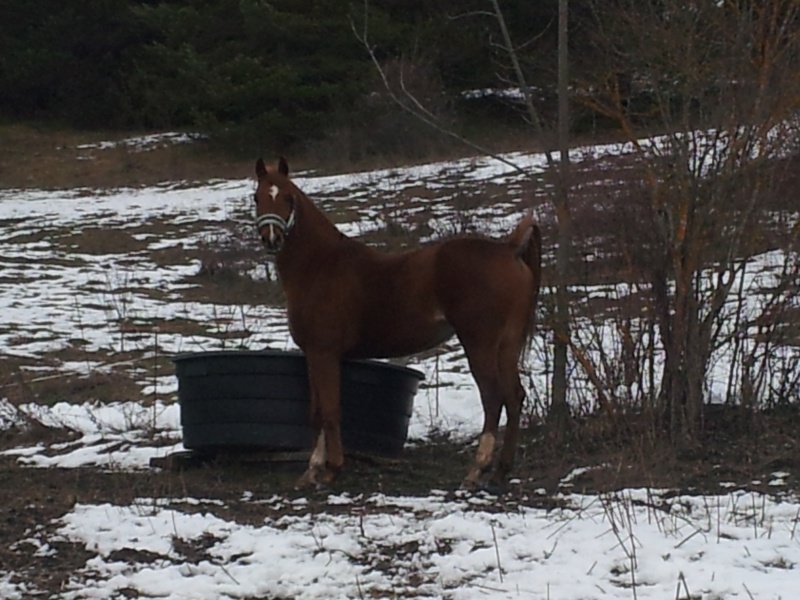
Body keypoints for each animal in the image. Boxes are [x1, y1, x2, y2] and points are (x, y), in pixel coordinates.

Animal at [255, 157, 544, 490]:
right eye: (257, 197)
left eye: (288, 198)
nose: (271, 238)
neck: (320, 265)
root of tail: (509, 249)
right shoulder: (313, 355)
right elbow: (316, 411)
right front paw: (311, 471)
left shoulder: (324, 352)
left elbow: (330, 410)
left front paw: (331, 470)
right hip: (507, 345)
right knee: (514, 396)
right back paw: (500, 471)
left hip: (479, 343)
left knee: (493, 397)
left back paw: (476, 470)